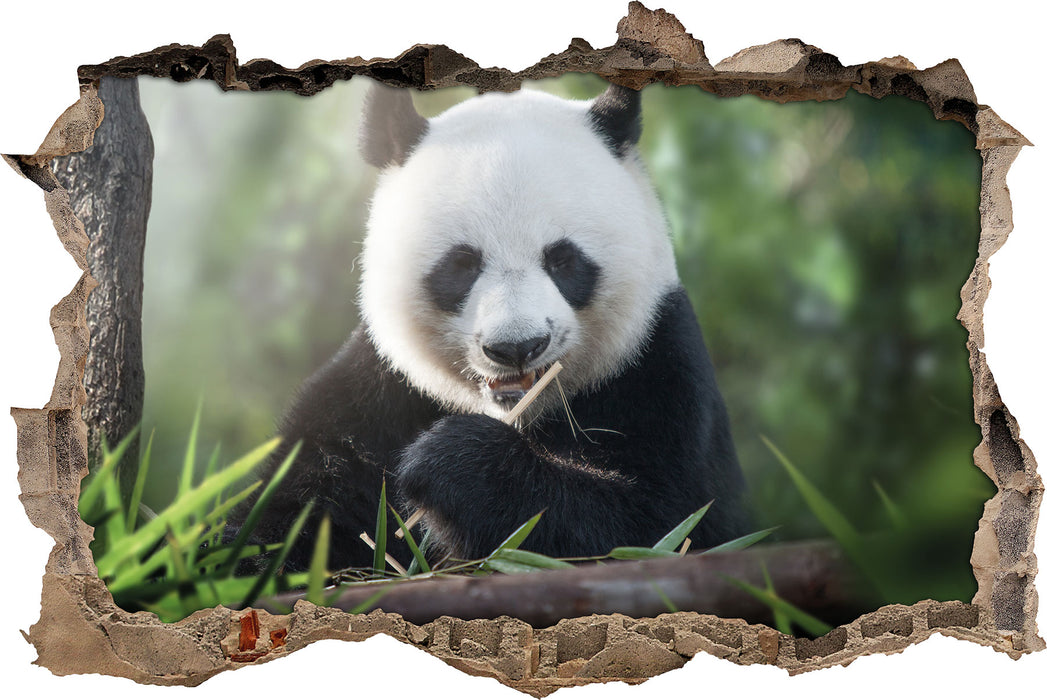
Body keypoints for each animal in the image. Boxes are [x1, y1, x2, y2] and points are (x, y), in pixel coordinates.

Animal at [236, 81, 747, 572]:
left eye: (563, 260)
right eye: (462, 264)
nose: (517, 347)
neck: (519, 413)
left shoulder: (656, 369)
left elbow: (660, 526)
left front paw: (451, 463)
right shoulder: (378, 392)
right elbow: (293, 507)